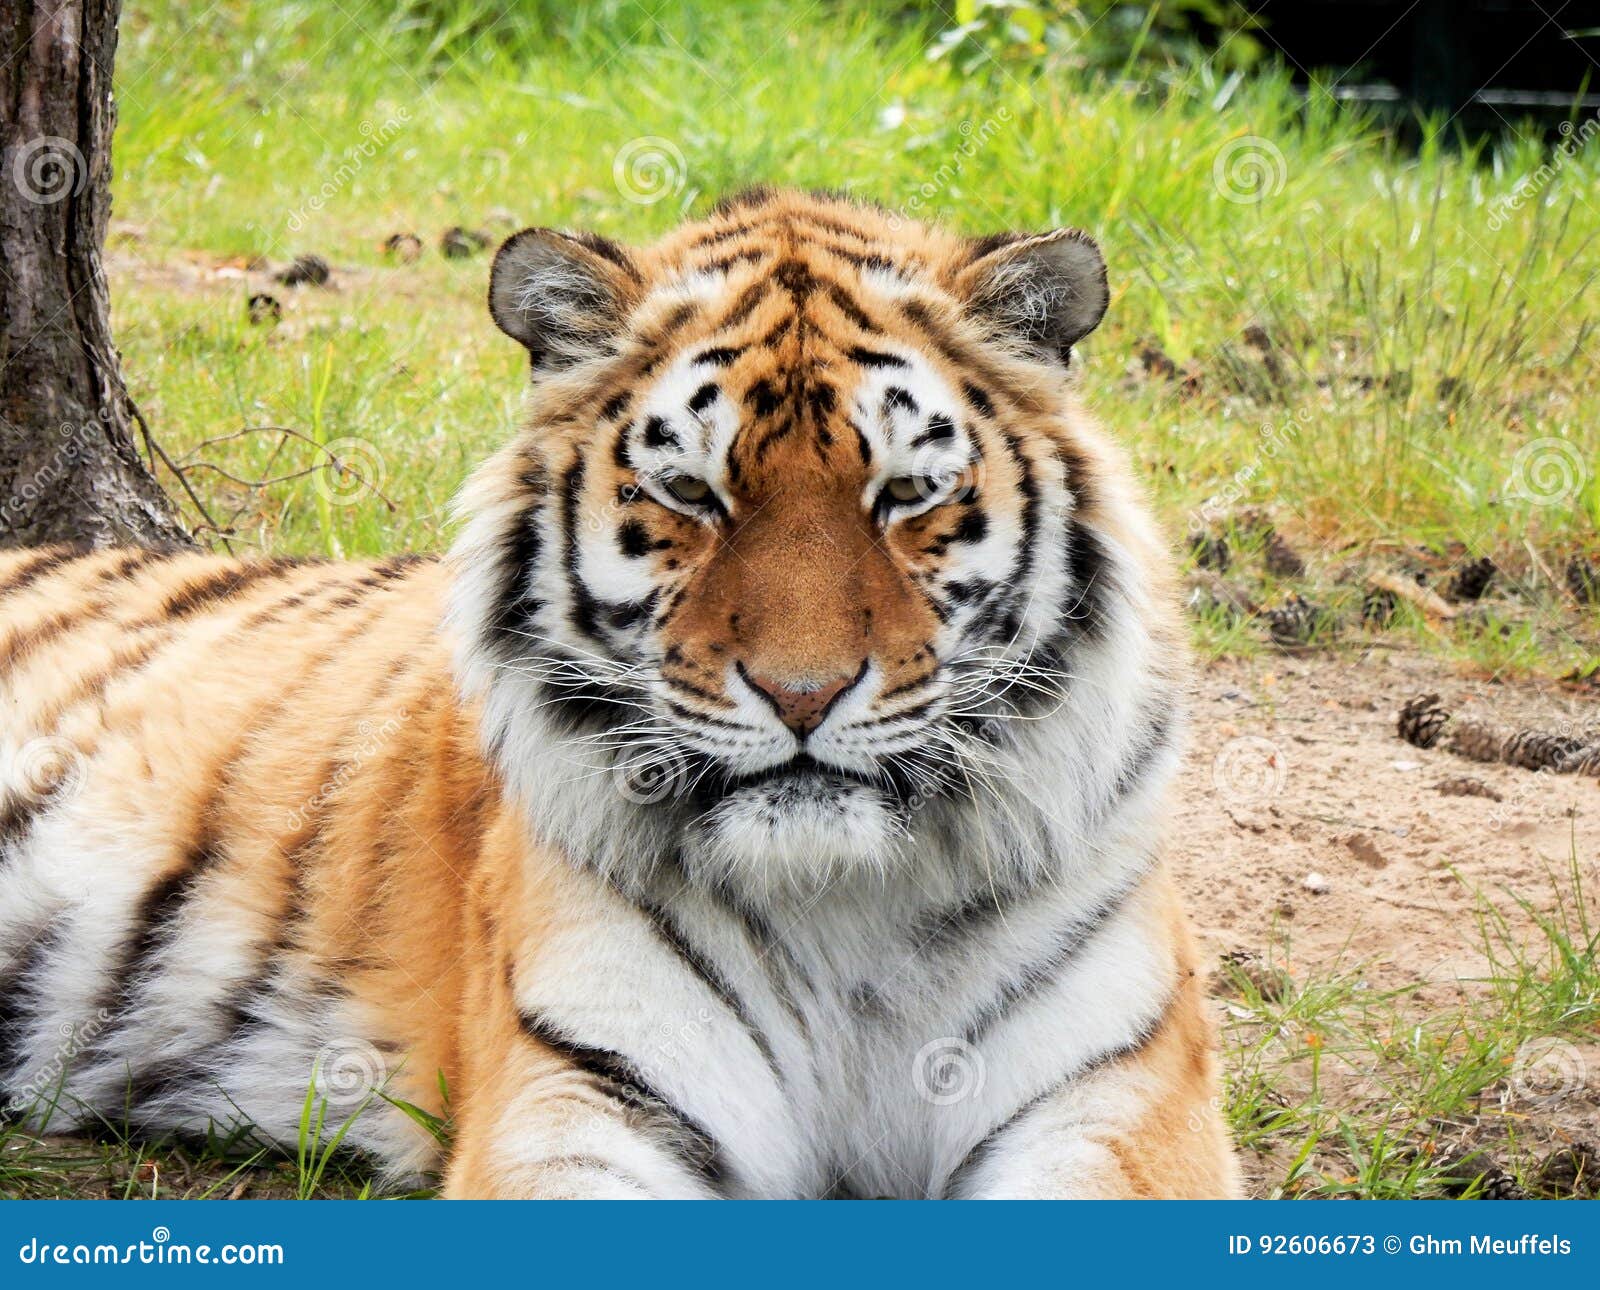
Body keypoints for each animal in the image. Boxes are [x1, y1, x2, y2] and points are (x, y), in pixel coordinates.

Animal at [0, 187, 1235, 1197]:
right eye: (690, 492)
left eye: (905, 493)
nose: (802, 695)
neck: (841, 903)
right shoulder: (586, 1093)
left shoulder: (1115, 1095)